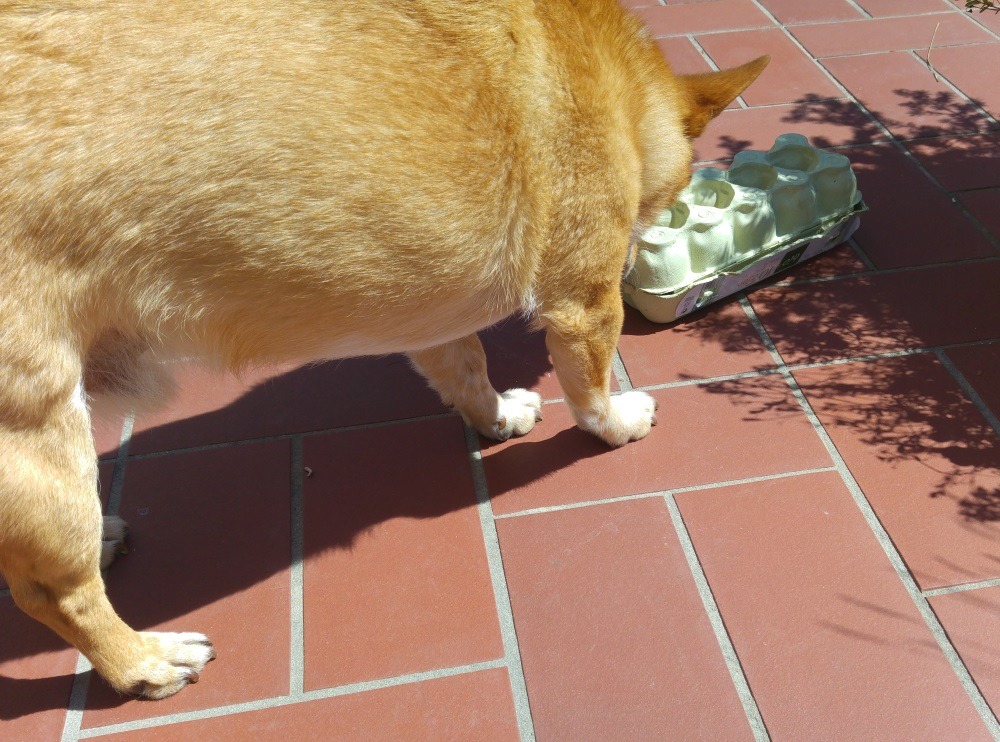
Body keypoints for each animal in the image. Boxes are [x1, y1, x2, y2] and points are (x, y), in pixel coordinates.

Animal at [0, 0, 764, 700]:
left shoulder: (439, 313)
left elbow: (467, 371)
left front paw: (498, 417)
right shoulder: (584, 305)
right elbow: (592, 390)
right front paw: (619, 424)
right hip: (42, 433)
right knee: (54, 594)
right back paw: (144, 662)